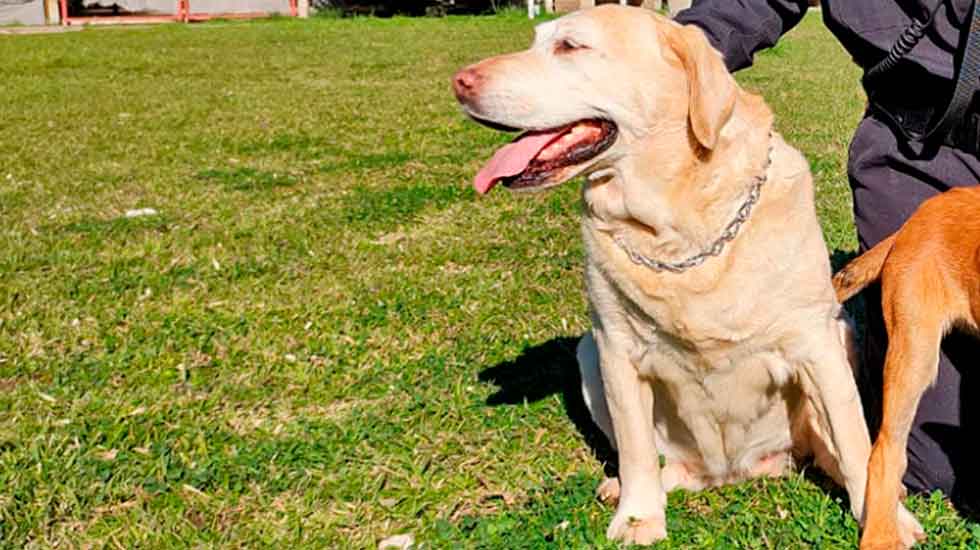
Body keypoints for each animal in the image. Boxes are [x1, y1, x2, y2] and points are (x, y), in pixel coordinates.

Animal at [454, 5, 928, 550]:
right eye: (536, 42)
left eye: (571, 46)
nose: (460, 82)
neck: (676, 229)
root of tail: (729, 473)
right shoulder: (615, 347)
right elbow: (636, 447)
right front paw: (638, 518)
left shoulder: (815, 342)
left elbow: (853, 438)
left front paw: (886, 518)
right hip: (589, 354)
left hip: (841, 336)